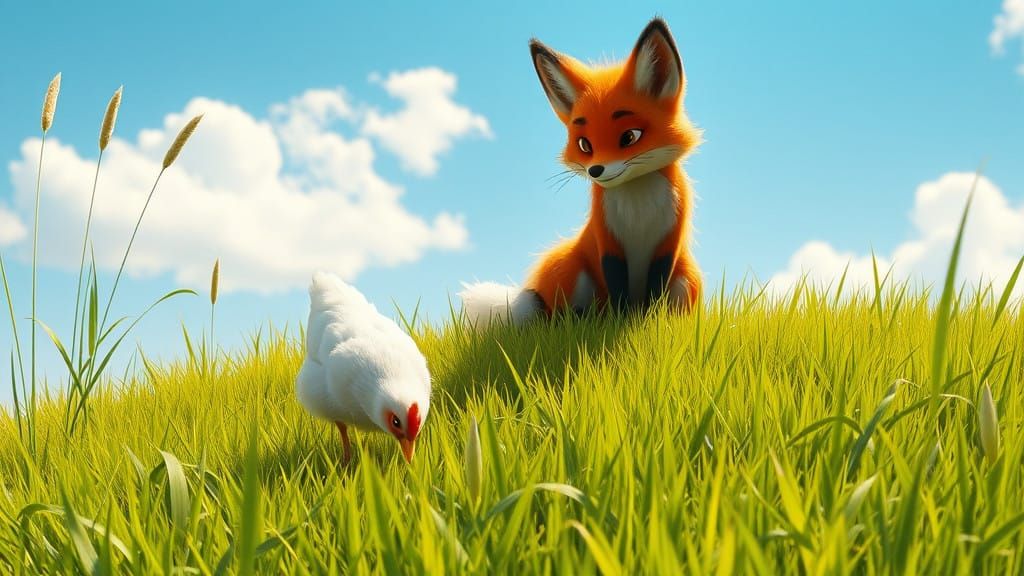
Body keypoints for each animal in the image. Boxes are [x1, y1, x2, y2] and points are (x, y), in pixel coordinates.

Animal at [460, 17, 703, 326]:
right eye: (585, 145)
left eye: (630, 137)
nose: (596, 170)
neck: (638, 206)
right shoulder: (607, 240)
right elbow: (616, 285)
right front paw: (620, 319)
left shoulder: (668, 244)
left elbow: (655, 291)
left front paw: (648, 320)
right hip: (571, 268)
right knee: (554, 316)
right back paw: (579, 319)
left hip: (687, 278)